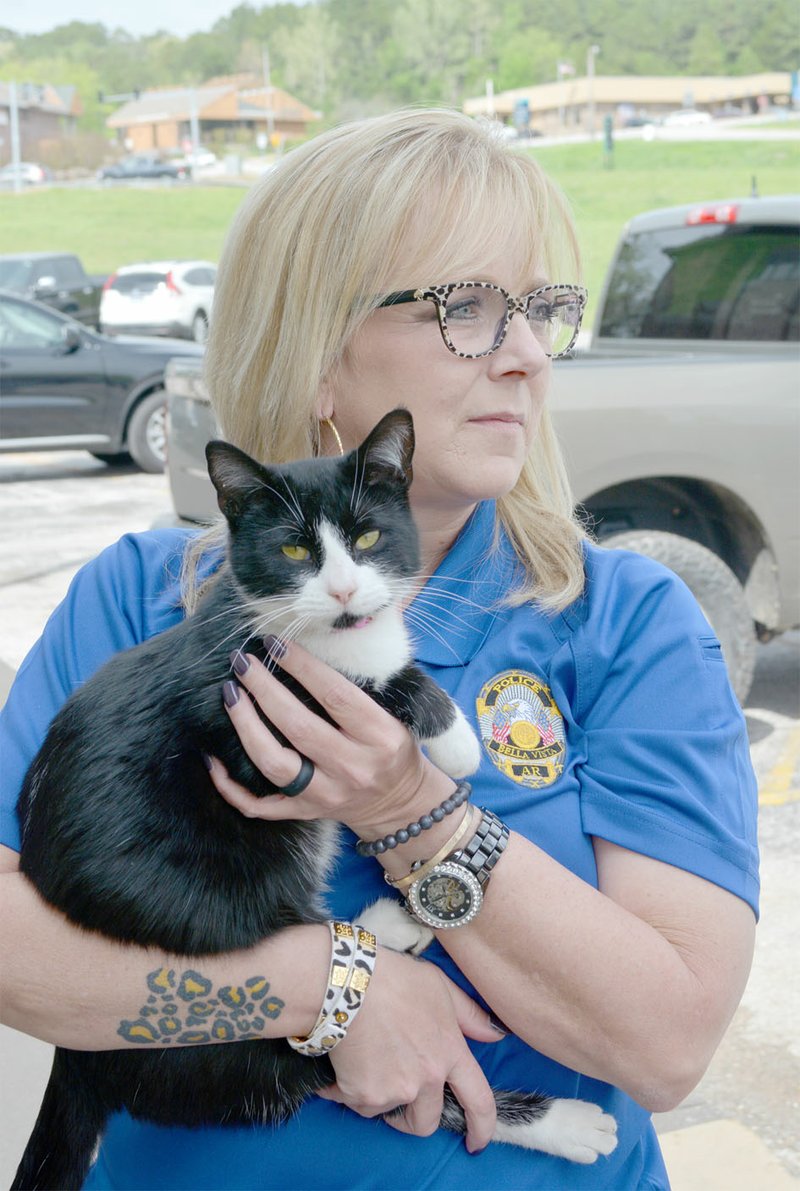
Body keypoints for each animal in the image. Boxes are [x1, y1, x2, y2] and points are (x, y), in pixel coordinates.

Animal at [12, 404, 614, 1186]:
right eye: (295, 550)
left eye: (367, 538)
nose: (344, 592)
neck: (326, 636)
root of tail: (80, 1059)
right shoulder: (246, 708)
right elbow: (369, 687)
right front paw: (452, 733)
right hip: (212, 954)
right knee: (319, 1051)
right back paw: (558, 1116)